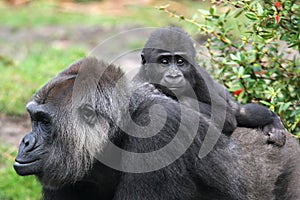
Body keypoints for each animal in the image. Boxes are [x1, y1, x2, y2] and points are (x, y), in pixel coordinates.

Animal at [135, 26, 288, 145]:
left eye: (180, 61)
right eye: (164, 62)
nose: (174, 76)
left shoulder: (200, 76)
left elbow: (225, 114)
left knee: (239, 111)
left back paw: (274, 122)